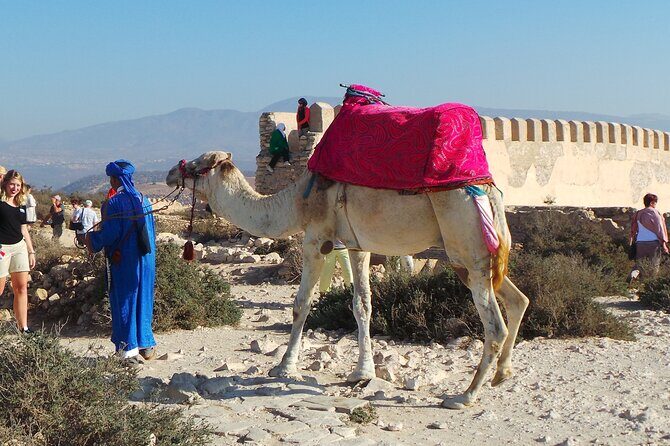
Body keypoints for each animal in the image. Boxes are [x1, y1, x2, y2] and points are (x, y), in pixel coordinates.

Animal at [166, 151, 529, 409]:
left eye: (199, 165)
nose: (172, 171)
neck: (295, 201)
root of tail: (490, 193)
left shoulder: (316, 238)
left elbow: (301, 304)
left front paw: (284, 367)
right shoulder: (356, 244)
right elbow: (362, 304)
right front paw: (362, 372)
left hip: (465, 244)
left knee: (494, 325)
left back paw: (463, 396)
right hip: (480, 257)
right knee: (519, 300)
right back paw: (502, 374)